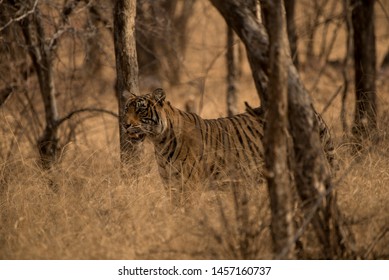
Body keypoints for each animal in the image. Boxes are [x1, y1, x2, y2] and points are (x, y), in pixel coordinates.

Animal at [123, 88, 266, 203]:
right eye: (126, 110)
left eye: (141, 110)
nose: (125, 125)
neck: (160, 143)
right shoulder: (170, 185)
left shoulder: (189, 186)